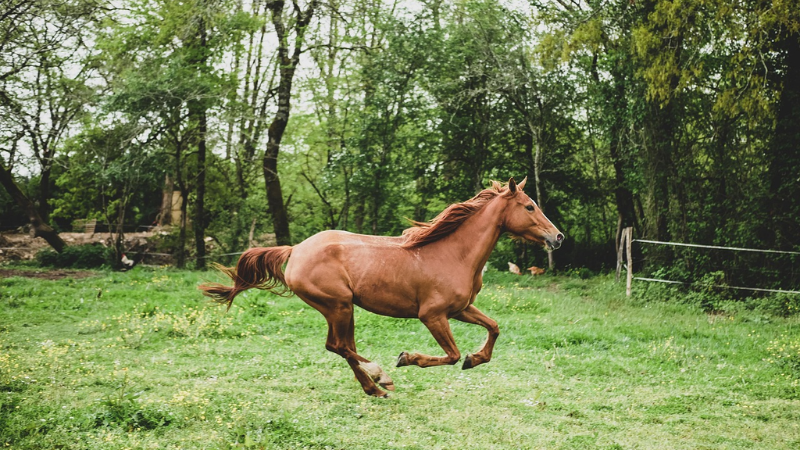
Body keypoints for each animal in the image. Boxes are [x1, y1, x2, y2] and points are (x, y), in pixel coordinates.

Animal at [199, 178, 564, 396]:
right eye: (529, 206)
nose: (558, 237)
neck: (453, 253)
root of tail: (296, 249)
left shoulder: (460, 309)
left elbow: (494, 327)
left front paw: (476, 359)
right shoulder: (432, 315)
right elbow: (451, 355)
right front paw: (408, 358)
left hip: (342, 309)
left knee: (341, 346)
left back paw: (373, 386)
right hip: (338, 305)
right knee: (339, 346)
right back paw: (380, 377)